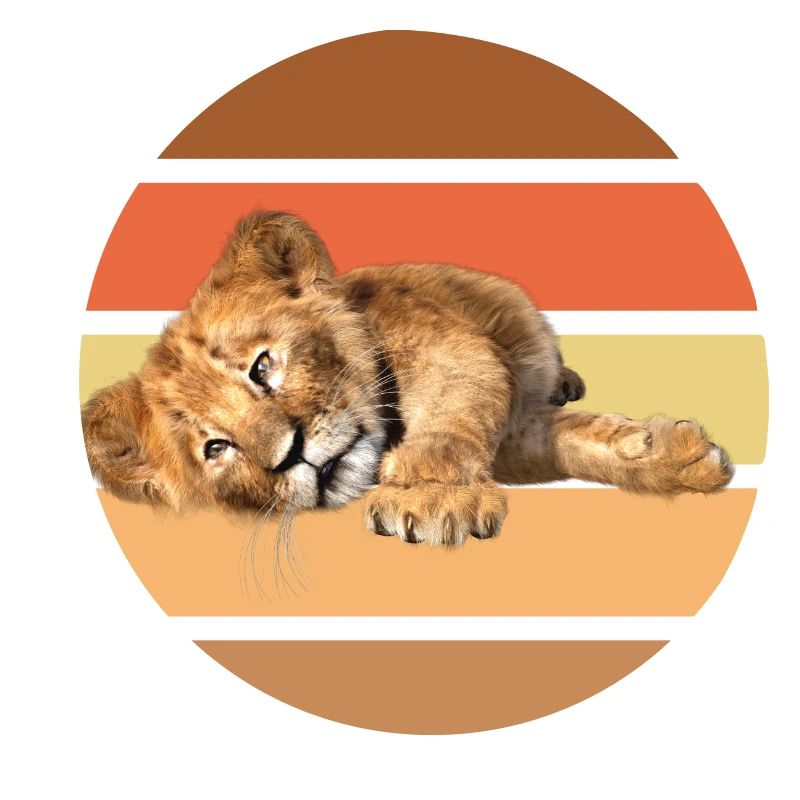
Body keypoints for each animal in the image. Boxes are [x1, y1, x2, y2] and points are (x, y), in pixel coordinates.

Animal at [82, 211, 733, 548]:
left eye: (263, 367)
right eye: (216, 448)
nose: (291, 454)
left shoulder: (454, 352)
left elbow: (452, 421)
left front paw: (430, 495)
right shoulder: (515, 434)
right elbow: (574, 438)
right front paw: (673, 455)